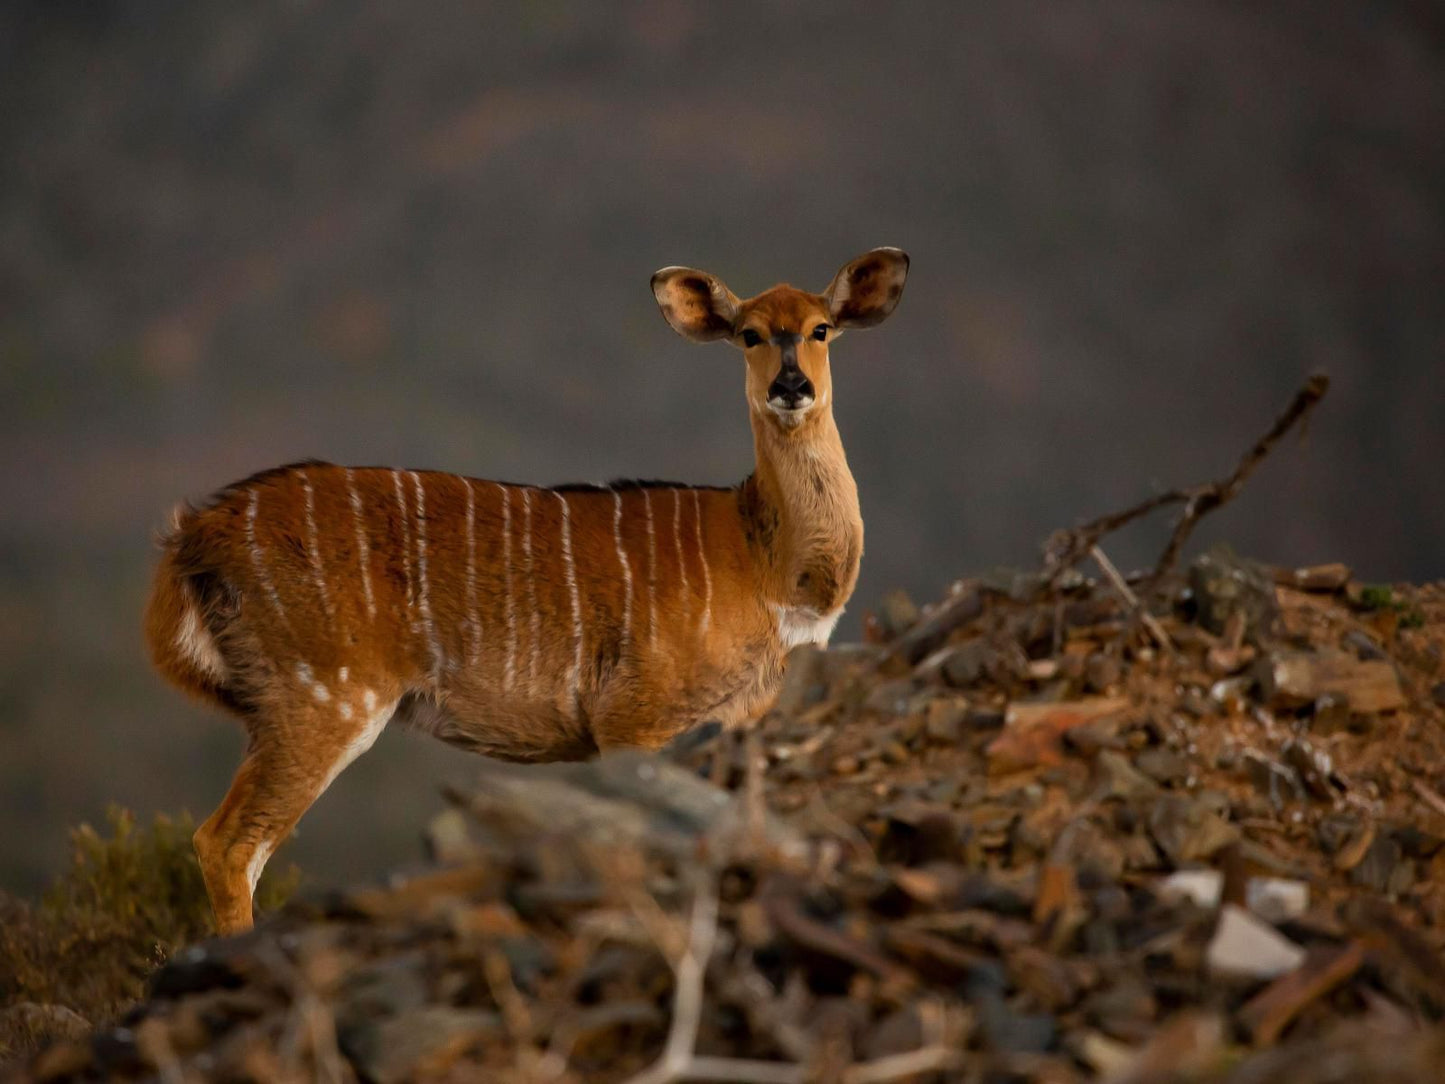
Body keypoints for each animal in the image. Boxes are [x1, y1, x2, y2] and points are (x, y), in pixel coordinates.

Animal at [149, 248, 913, 936]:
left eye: (820, 328)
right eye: (750, 333)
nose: (791, 386)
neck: (768, 568)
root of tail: (197, 532)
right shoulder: (634, 717)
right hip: (321, 697)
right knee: (228, 844)